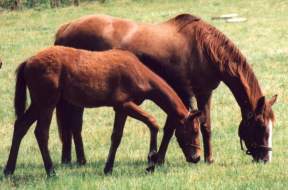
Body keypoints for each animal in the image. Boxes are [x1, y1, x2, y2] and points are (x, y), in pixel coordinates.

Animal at [5, 46, 202, 177]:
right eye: (194, 131)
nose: (197, 158)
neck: (138, 71)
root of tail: (28, 61)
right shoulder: (125, 105)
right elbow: (152, 122)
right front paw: (151, 160)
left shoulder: (121, 109)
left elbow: (116, 137)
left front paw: (108, 168)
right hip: (47, 104)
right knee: (41, 133)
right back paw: (51, 171)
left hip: (38, 104)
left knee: (20, 126)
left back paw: (9, 170)